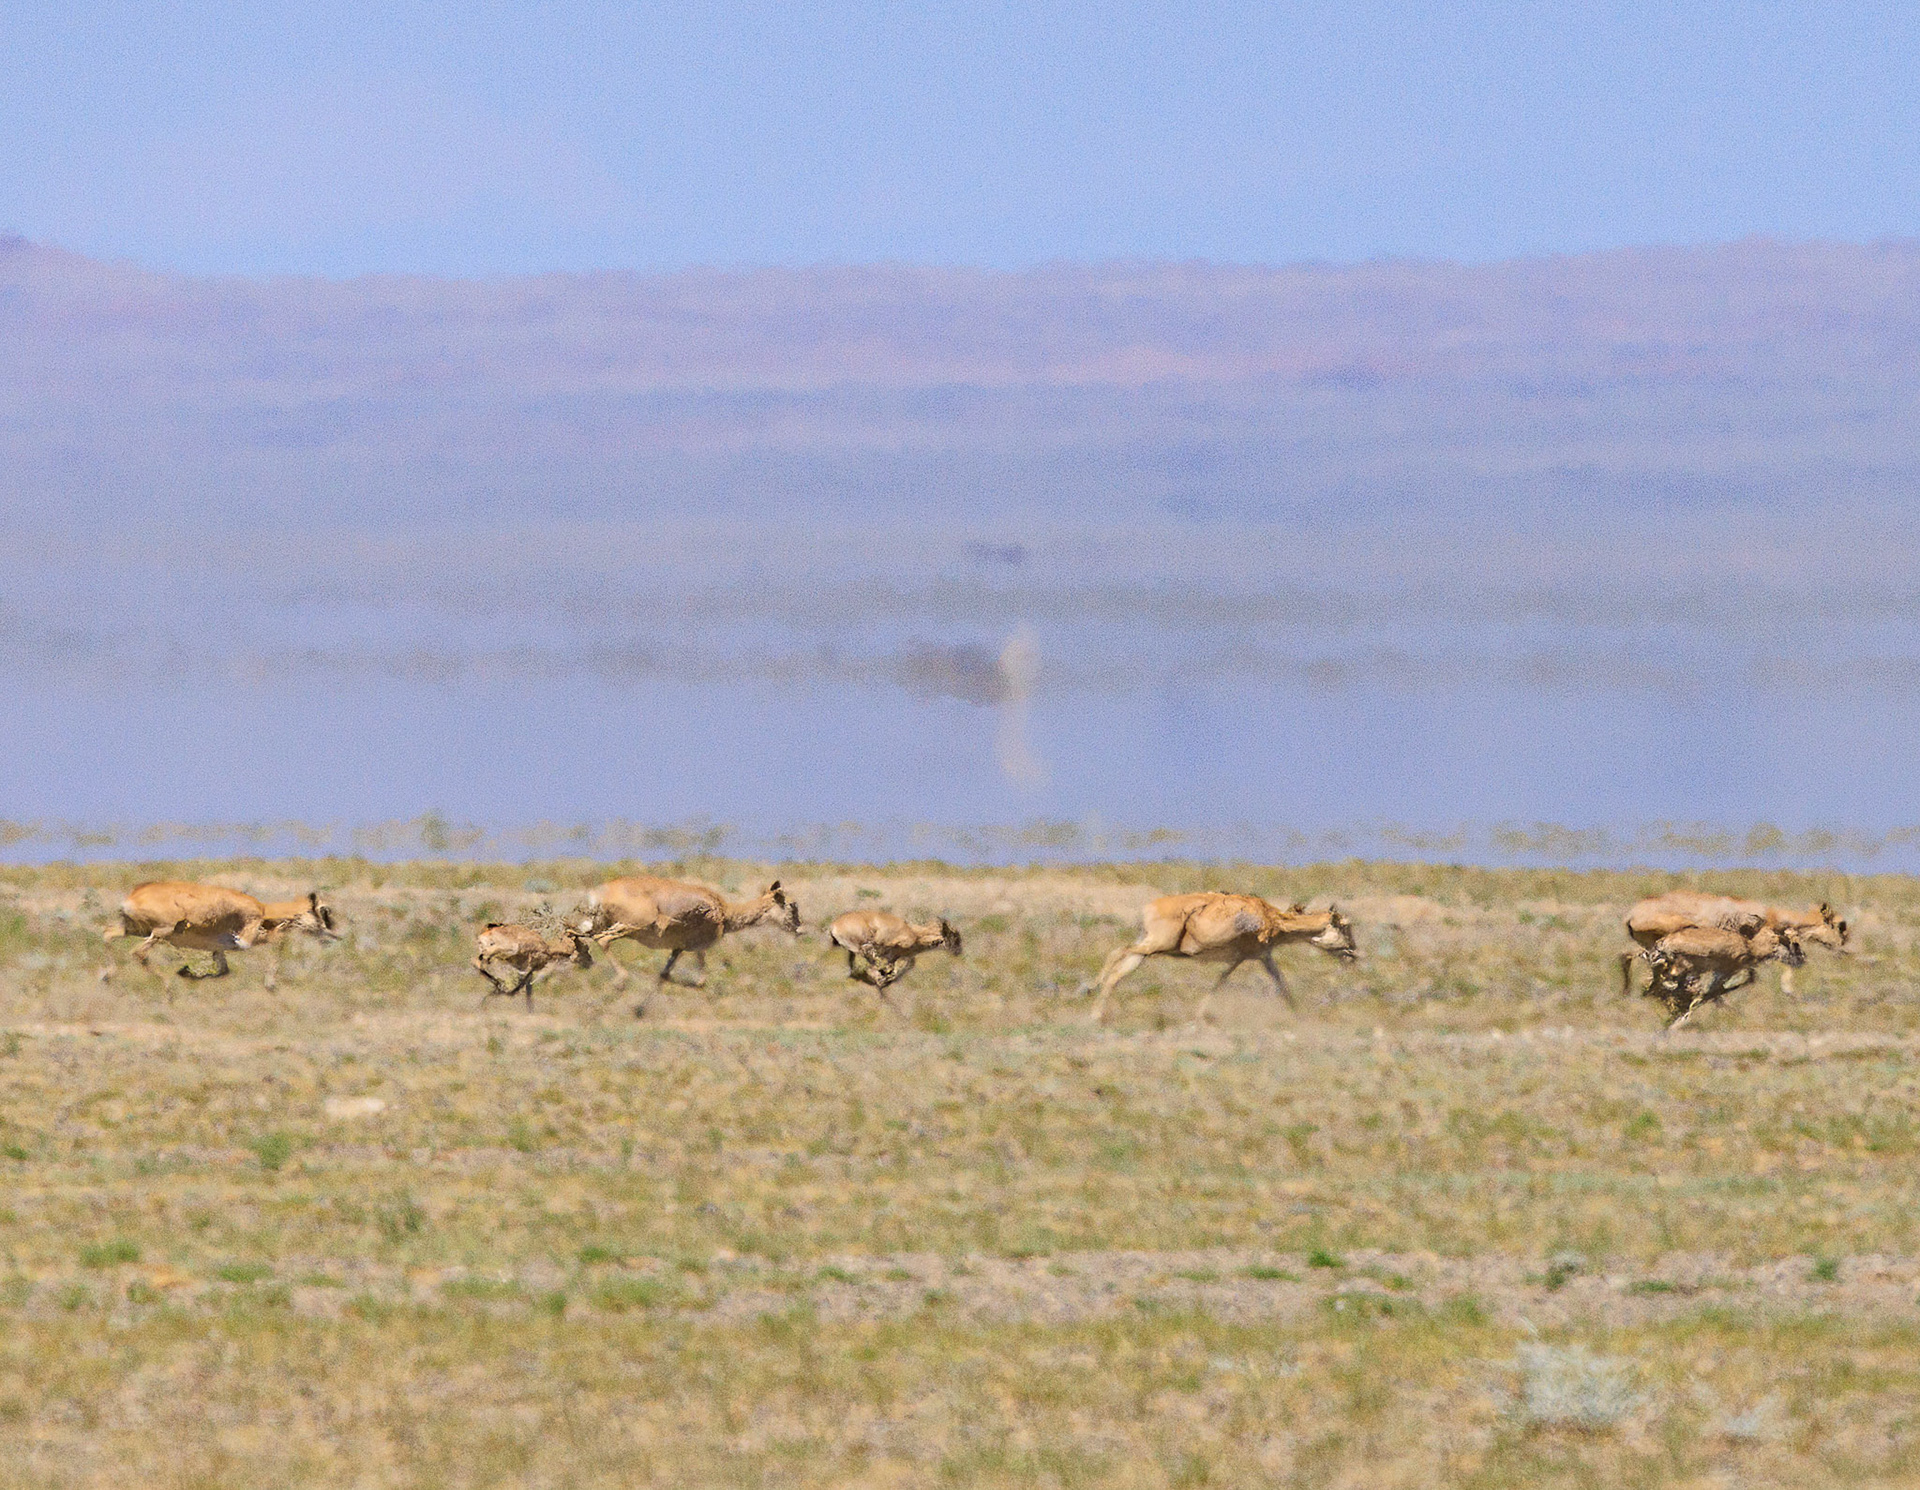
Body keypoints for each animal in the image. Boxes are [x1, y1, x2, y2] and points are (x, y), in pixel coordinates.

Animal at [102, 882, 340, 979]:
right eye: (325, 911)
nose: (337, 935)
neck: (263, 910)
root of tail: (134, 895)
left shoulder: (219, 950)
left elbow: (223, 971)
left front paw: (188, 973)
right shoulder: (244, 940)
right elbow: (277, 940)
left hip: (134, 930)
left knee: (107, 933)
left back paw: (106, 976)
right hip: (160, 933)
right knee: (138, 953)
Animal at [576, 876, 802, 1010]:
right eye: (791, 905)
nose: (800, 929)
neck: (724, 912)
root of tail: (599, 893)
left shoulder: (679, 949)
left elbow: (664, 976)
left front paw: (640, 1009)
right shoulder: (697, 949)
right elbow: (699, 981)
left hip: (599, 925)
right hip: (629, 926)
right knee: (603, 939)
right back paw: (620, 980)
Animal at [824, 910, 962, 993]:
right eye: (955, 936)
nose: (958, 952)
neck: (912, 932)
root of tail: (833, 926)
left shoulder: (898, 958)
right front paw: (884, 977)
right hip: (864, 947)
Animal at [1091, 893, 1358, 1024]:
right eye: (1344, 926)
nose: (1353, 953)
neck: (1273, 918)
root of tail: (1148, 908)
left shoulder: (1262, 957)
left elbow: (1281, 984)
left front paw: (1299, 1015)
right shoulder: (1242, 958)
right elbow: (1221, 981)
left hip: (1146, 950)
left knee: (1118, 973)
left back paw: (1097, 1014)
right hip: (1154, 945)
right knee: (1118, 951)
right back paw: (1090, 989)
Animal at [1627, 923, 1805, 1029]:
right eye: (1793, 943)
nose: (1802, 959)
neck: (1750, 946)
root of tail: (1663, 942)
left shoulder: (1720, 973)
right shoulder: (1724, 971)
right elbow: (1708, 994)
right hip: (1681, 967)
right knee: (1662, 983)